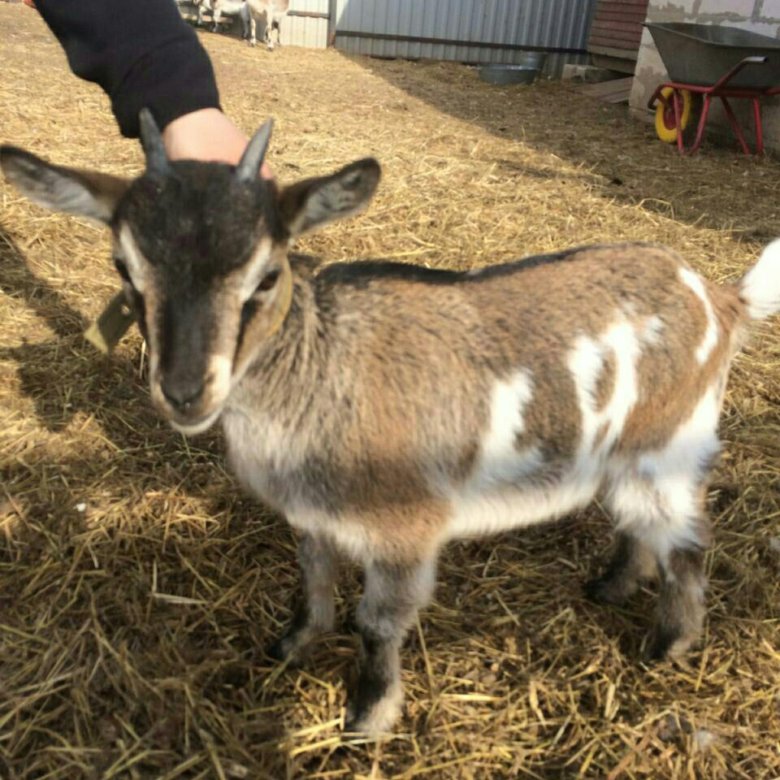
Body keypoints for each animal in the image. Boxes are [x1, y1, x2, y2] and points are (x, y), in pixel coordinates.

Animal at [1, 112, 780, 736]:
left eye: (266, 277)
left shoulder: (407, 529)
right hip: (628, 455)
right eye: (124, 269)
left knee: (687, 541)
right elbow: (313, 580)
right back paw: (612, 588)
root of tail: (718, 297)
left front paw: (369, 715)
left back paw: (669, 643)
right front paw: (292, 645)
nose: (185, 393)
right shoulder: (311, 516)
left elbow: (377, 624)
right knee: (643, 526)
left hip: (670, 445)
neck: (319, 369)